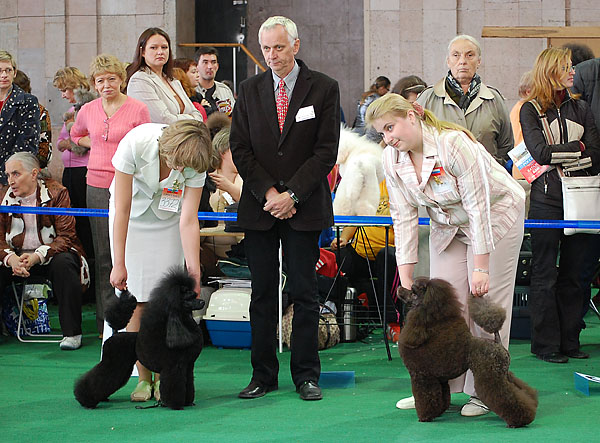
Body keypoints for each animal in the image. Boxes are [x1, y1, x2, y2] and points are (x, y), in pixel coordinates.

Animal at [74, 267, 205, 410]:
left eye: (195, 295)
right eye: (188, 298)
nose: (202, 302)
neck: (183, 325)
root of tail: (115, 334)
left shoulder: (188, 366)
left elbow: (189, 384)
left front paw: (188, 402)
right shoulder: (174, 367)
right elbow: (175, 385)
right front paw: (176, 405)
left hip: (122, 365)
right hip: (113, 362)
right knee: (100, 377)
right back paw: (86, 400)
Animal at [396, 278, 538, 428]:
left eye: (413, 292)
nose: (399, 288)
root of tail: (497, 342)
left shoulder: (422, 376)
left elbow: (425, 397)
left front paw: (424, 417)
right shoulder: (439, 379)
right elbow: (441, 396)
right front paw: (438, 412)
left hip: (490, 375)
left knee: (505, 396)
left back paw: (518, 421)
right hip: (503, 373)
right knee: (520, 389)